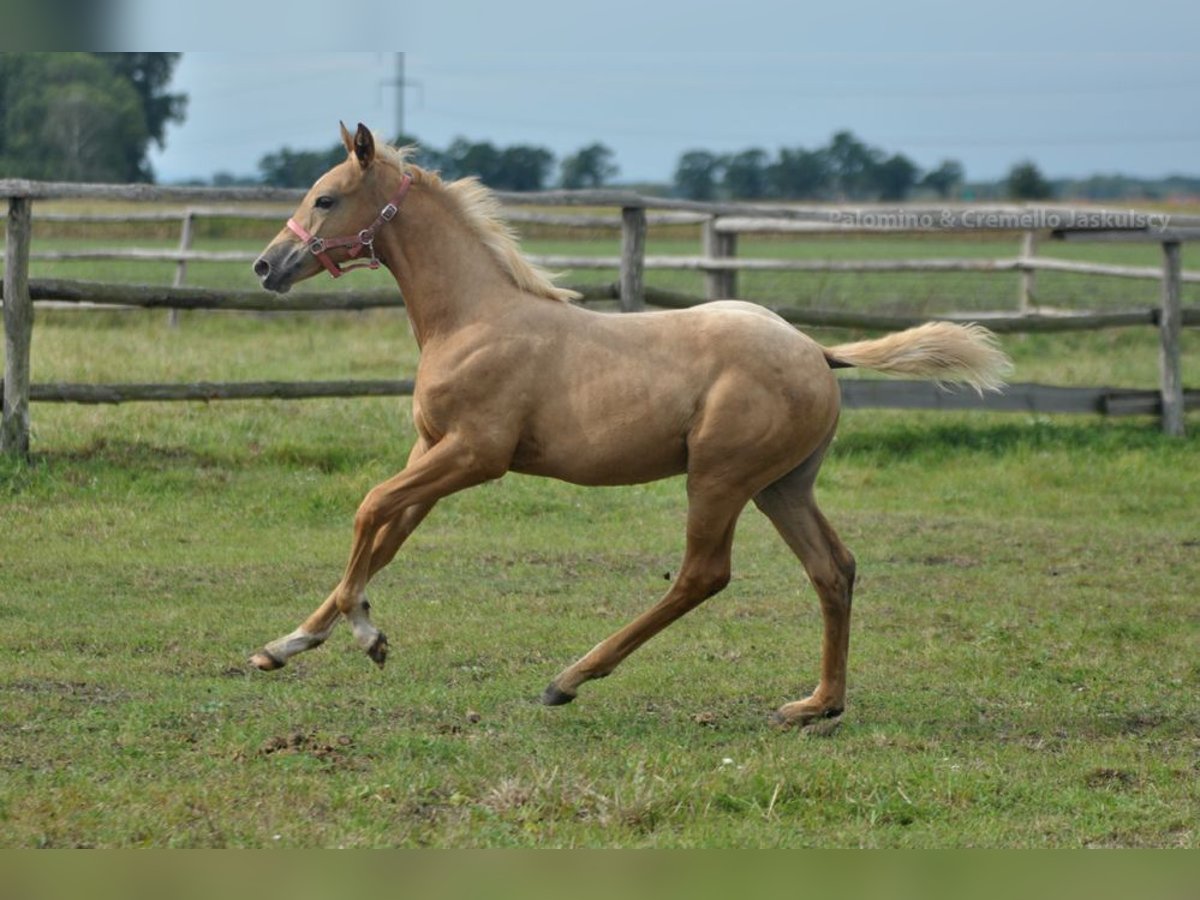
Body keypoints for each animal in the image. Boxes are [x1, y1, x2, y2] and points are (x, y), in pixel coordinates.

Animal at [253, 123, 1012, 729]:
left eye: (326, 198)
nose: (266, 265)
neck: (473, 318)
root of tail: (819, 353)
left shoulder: (475, 455)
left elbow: (369, 507)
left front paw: (365, 635)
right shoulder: (433, 450)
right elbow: (386, 535)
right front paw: (284, 645)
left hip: (720, 478)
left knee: (703, 574)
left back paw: (569, 679)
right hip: (783, 486)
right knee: (834, 569)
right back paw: (816, 705)